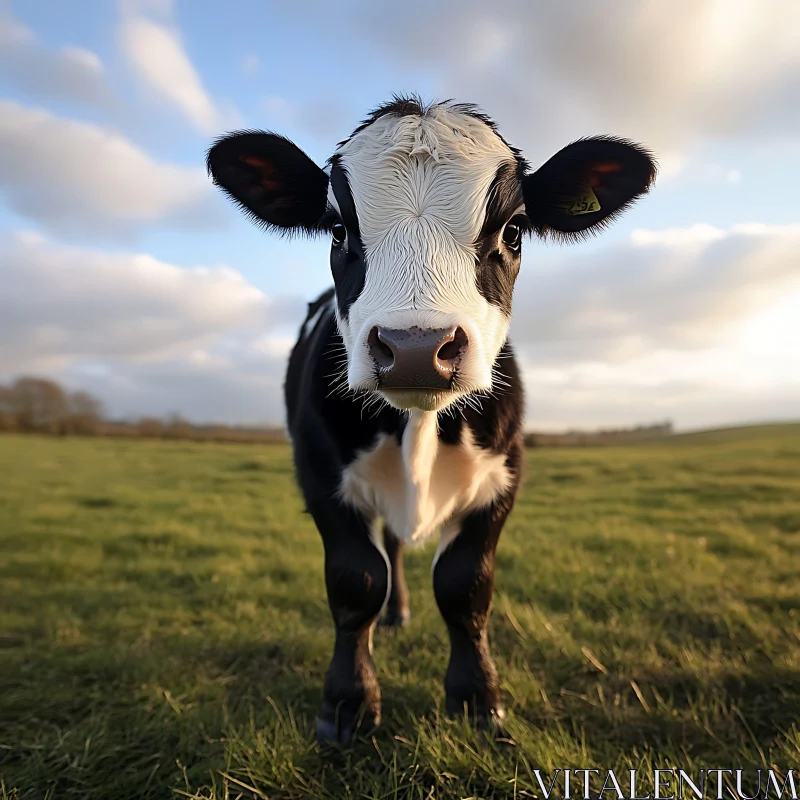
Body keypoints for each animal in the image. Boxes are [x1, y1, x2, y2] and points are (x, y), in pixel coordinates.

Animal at [208, 98, 656, 744]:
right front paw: (347, 705)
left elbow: (464, 587)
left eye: (513, 229)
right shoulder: (319, 477)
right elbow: (357, 581)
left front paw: (477, 699)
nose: (416, 348)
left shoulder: (502, 481)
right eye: (337, 228)